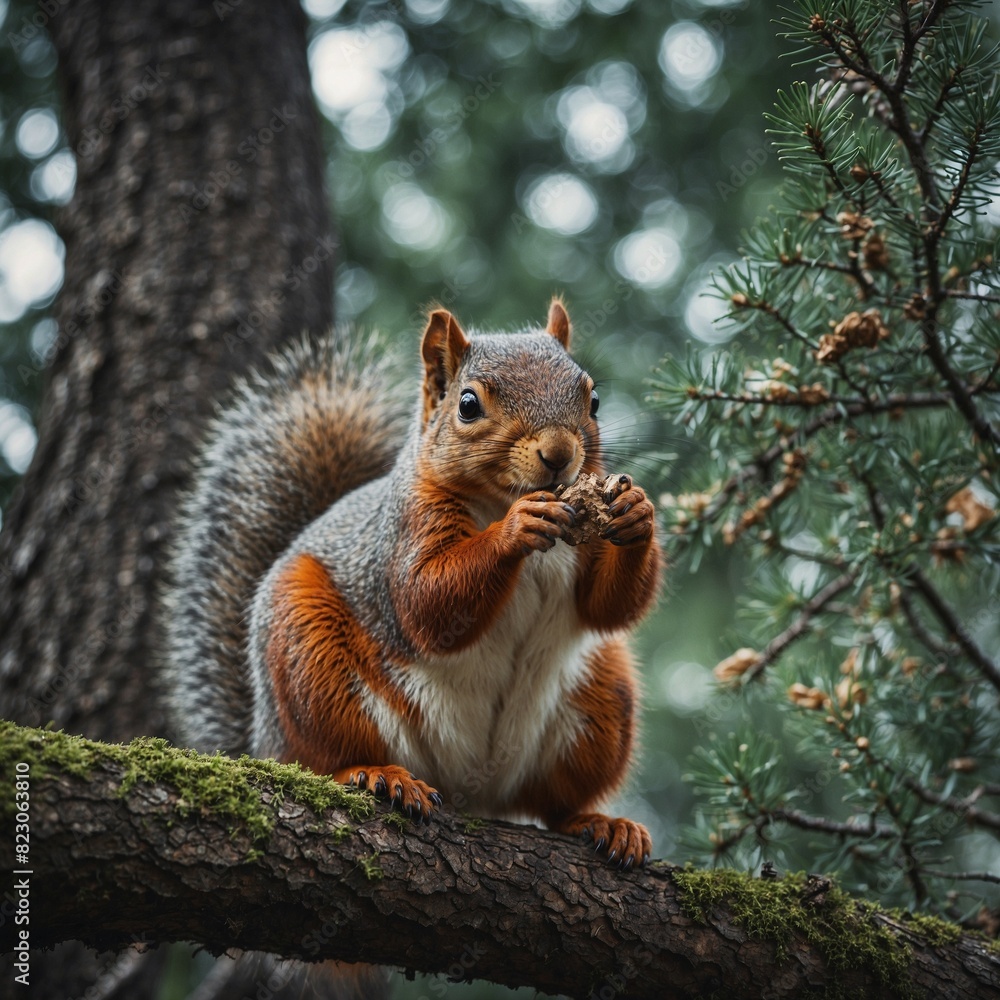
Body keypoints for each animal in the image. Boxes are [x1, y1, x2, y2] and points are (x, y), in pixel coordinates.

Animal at [163, 299, 662, 869]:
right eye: (467, 405)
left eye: (594, 399)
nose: (559, 453)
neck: (500, 498)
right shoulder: (408, 525)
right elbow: (425, 602)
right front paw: (517, 528)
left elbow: (607, 607)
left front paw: (636, 511)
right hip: (312, 661)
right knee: (324, 758)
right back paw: (376, 774)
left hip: (601, 700)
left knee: (554, 802)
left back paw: (598, 822)